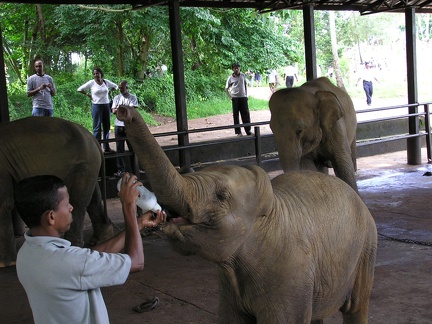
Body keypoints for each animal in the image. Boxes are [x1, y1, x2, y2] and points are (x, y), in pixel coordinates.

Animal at [0, 117, 113, 268]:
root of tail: (94, 140)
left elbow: (3, 203)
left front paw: (5, 264)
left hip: (84, 164)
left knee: (78, 201)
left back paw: (74, 245)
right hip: (89, 165)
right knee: (93, 198)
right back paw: (101, 239)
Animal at [116, 105, 376, 322]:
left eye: (221, 196)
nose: (123, 110)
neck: (270, 207)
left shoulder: (292, 272)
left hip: (366, 248)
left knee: (356, 308)